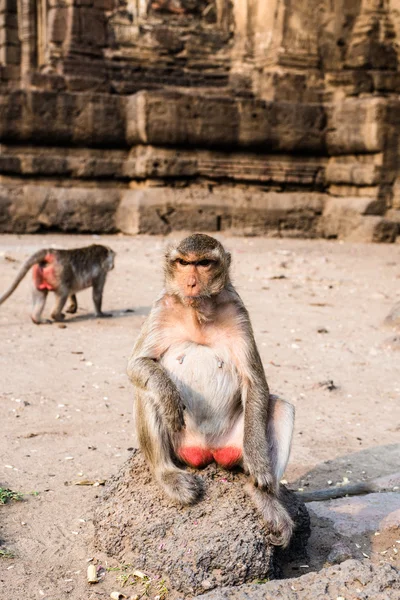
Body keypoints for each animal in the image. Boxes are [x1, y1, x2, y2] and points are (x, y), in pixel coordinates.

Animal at [126, 234, 296, 548]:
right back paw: (167, 475)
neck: (198, 313)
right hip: (180, 447)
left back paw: (263, 497)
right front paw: (168, 395)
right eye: (184, 263)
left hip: (235, 444)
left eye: (204, 263)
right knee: (146, 392)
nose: (191, 283)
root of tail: (209, 453)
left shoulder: (238, 311)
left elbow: (255, 382)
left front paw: (259, 464)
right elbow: (137, 365)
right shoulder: (161, 307)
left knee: (280, 406)